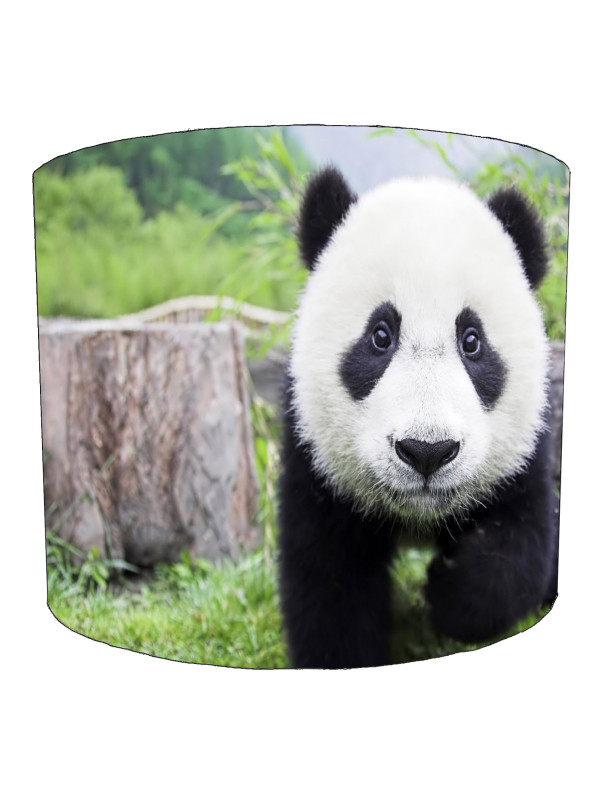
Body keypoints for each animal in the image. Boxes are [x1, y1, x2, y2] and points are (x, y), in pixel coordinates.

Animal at [278, 167, 559, 669]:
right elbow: (329, 583)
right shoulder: (314, 457)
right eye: (380, 335)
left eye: (472, 341)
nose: (427, 451)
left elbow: (519, 547)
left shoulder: (525, 450)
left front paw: (449, 590)